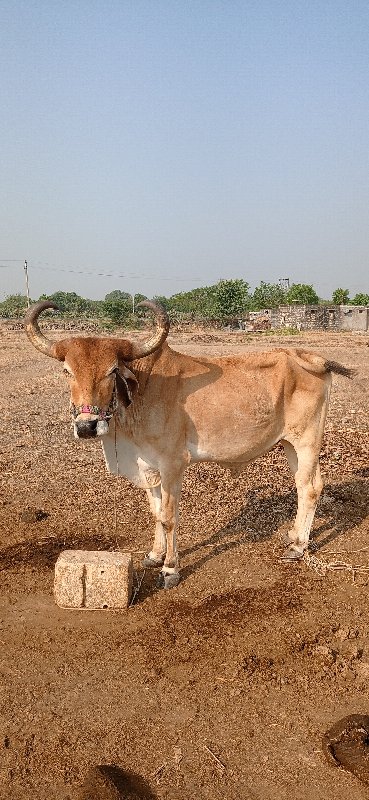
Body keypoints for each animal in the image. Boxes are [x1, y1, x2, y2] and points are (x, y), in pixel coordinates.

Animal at [25, 300, 354, 588]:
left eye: (111, 371)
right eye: (67, 371)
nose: (86, 426)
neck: (146, 389)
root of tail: (312, 358)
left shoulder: (173, 464)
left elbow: (169, 517)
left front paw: (170, 568)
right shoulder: (148, 467)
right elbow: (156, 513)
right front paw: (154, 555)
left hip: (308, 441)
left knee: (310, 488)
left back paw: (298, 547)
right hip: (288, 444)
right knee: (303, 484)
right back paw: (293, 536)